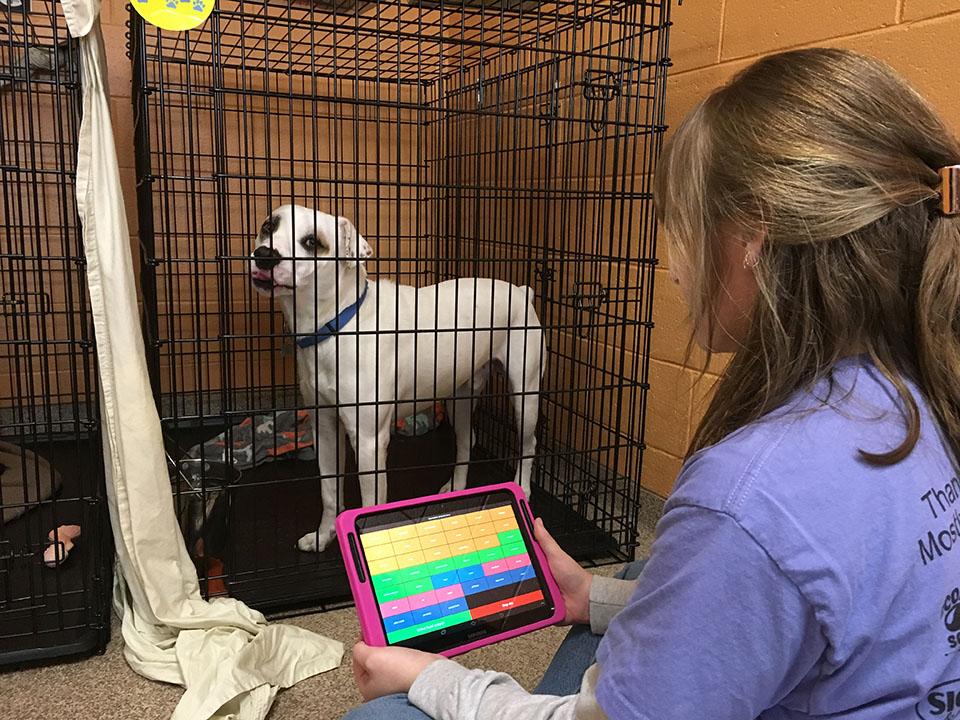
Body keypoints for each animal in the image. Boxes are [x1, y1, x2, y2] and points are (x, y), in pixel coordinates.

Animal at [251, 205, 544, 556]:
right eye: (268, 226)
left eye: (312, 242)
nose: (264, 256)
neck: (337, 325)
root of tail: (521, 291)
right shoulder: (325, 428)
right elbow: (329, 492)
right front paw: (323, 535)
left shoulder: (368, 441)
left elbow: (370, 503)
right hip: (459, 399)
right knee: (466, 443)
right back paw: (456, 488)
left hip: (525, 395)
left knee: (528, 445)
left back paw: (523, 490)